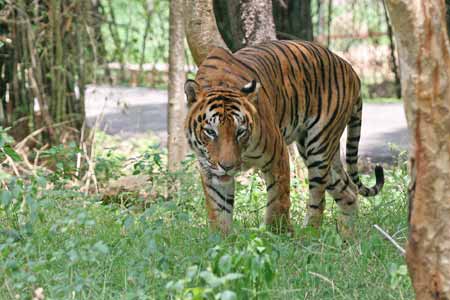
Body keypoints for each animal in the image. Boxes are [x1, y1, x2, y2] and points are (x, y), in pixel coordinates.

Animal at [183, 39, 384, 234]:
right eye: (211, 132)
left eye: (240, 131)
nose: (228, 167)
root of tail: (351, 70)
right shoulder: (208, 168)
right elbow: (218, 210)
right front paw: (222, 239)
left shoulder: (277, 154)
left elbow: (278, 199)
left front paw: (279, 234)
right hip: (320, 152)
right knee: (349, 191)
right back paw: (347, 236)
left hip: (318, 147)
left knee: (318, 198)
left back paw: (309, 234)